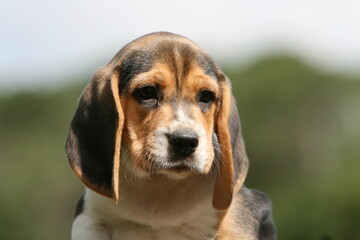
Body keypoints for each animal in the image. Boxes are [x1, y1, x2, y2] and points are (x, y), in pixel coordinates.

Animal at [65, 32, 276, 240]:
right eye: (147, 91)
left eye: (206, 96)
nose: (185, 142)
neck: (163, 184)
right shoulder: (90, 219)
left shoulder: (238, 222)